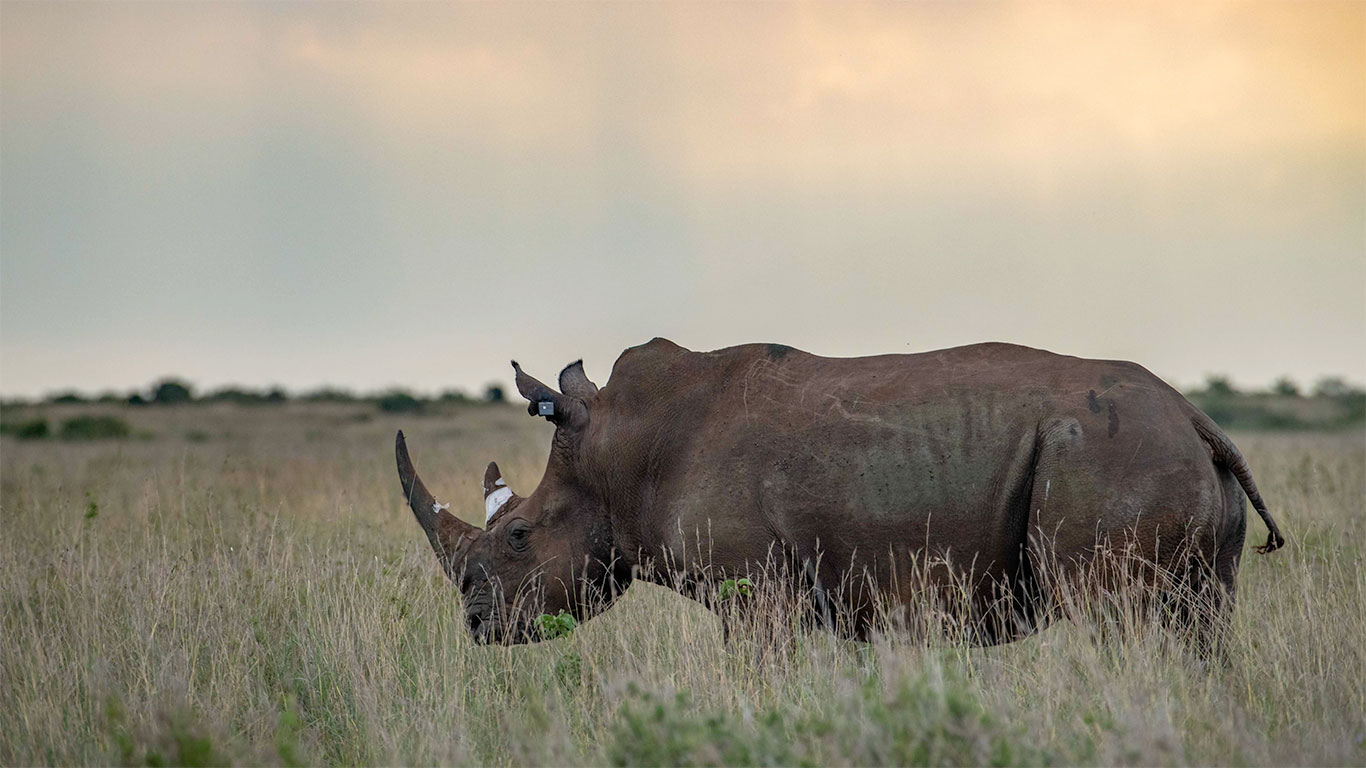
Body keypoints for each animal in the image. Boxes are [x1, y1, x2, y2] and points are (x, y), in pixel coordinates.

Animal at [395, 339, 1284, 646]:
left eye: (519, 536)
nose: (476, 627)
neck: (619, 450)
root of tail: (1196, 416)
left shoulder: (756, 594)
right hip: (1157, 460)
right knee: (1199, 628)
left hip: (1110, 455)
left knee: (1115, 620)